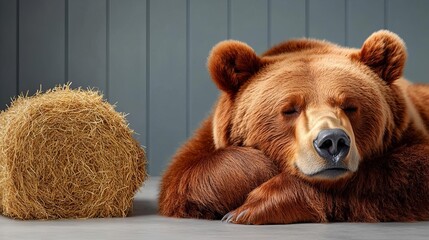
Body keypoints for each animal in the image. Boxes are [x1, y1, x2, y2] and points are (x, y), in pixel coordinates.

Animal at [157, 30, 428, 225]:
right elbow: (186, 176)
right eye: (290, 109)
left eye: (350, 106)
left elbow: (403, 174)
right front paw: (259, 169)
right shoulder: (207, 141)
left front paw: (248, 209)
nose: (333, 142)